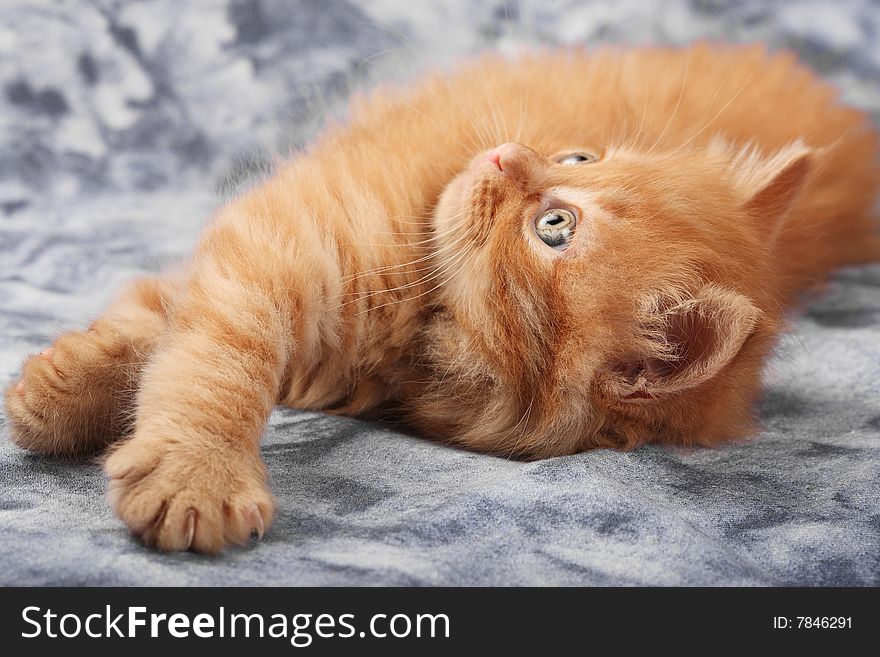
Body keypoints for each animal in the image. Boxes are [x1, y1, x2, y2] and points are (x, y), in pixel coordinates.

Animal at [3, 43, 876, 552]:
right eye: (578, 155)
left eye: (555, 227)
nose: (504, 154)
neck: (423, 332)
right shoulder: (284, 240)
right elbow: (196, 344)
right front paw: (81, 406)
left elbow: (195, 345)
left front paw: (168, 460)